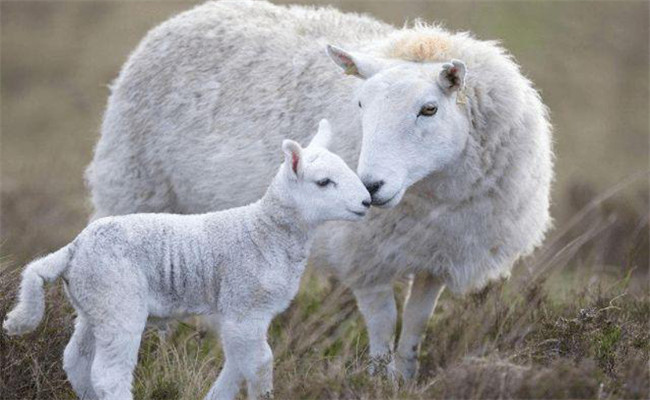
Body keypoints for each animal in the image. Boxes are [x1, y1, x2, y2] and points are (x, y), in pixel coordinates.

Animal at [2, 119, 370, 400]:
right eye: (323, 182)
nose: (367, 201)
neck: (265, 230)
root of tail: (73, 248)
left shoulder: (246, 314)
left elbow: (239, 364)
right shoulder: (245, 307)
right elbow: (261, 362)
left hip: (93, 304)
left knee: (76, 361)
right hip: (118, 301)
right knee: (108, 375)